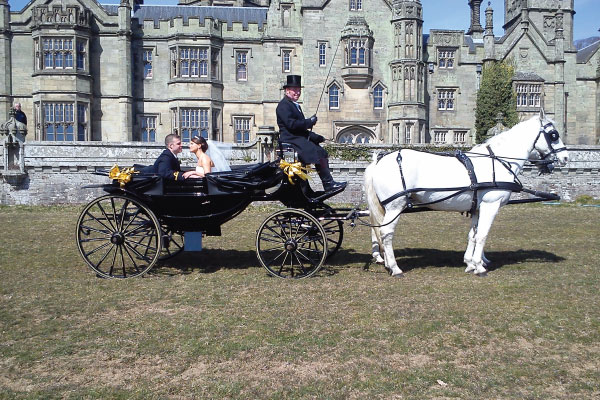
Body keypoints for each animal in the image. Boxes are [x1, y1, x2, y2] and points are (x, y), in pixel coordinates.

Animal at [366, 111, 568, 276]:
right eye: (554, 135)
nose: (565, 158)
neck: (498, 161)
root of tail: (379, 160)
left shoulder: (477, 208)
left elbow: (473, 234)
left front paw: (470, 262)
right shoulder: (490, 205)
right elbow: (483, 235)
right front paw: (479, 266)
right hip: (395, 207)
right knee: (386, 233)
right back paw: (395, 268)